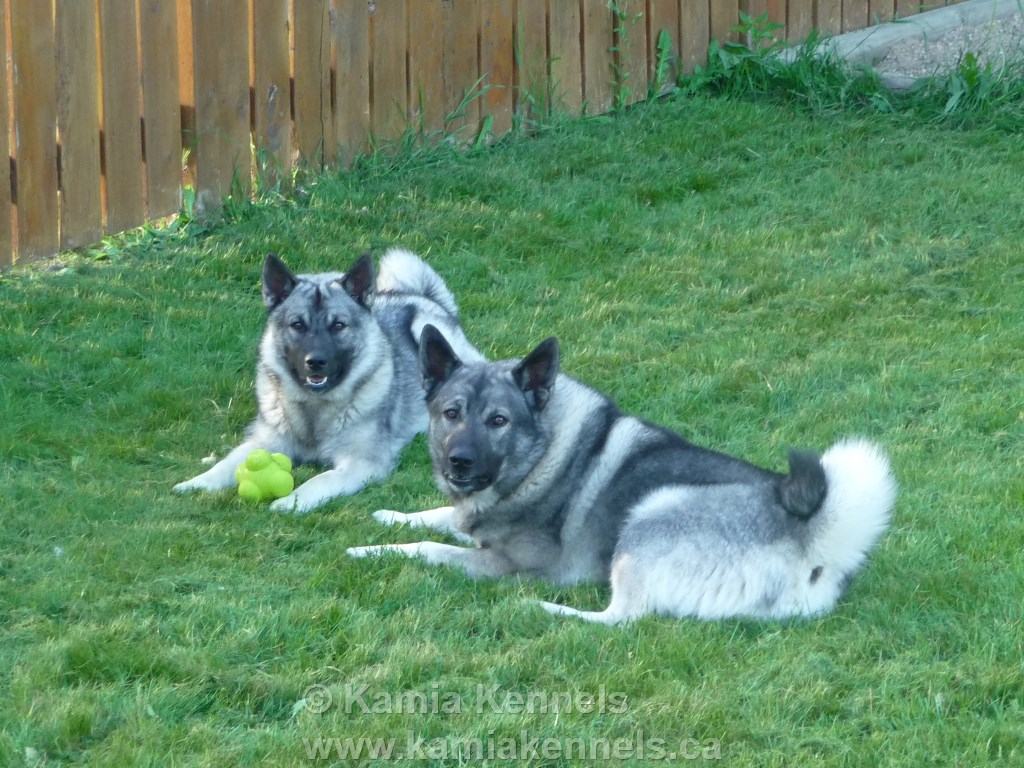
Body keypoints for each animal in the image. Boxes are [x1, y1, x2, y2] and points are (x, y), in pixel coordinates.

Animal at [174, 250, 482, 514]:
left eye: (338, 325)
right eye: (298, 325)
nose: (316, 361)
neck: (314, 408)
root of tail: (420, 297)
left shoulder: (361, 463)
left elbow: (319, 480)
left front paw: (290, 501)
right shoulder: (264, 442)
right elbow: (227, 464)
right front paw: (198, 482)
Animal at [348, 326, 896, 623]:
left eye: (498, 421)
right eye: (451, 413)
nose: (459, 460)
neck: (541, 456)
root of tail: (812, 539)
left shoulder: (507, 563)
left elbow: (432, 547)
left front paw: (372, 550)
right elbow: (439, 515)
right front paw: (391, 515)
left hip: (649, 517)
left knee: (624, 618)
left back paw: (549, 611)